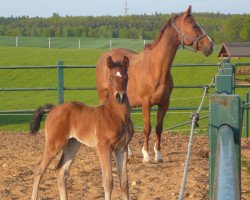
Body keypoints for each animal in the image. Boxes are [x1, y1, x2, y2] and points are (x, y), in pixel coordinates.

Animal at [29, 55, 134, 200]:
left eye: (126, 78)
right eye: (111, 79)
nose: (120, 97)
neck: (116, 115)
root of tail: (53, 108)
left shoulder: (122, 148)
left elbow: (124, 182)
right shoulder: (103, 147)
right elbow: (108, 181)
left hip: (72, 144)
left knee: (61, 171)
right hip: (54, 143)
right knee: (40, 168)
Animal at [95, 5, 213, 162]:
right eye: (194, 25)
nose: (210, 46)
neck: (156, 67)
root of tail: (104, 57)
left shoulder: (164, 103)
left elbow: (158, 128)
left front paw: (158, 155)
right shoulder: (146, 104)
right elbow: (147, 128)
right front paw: (146, 155)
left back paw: (128, 152)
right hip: (105, 97)